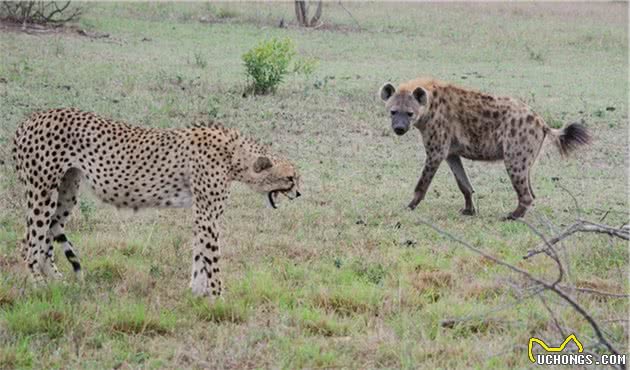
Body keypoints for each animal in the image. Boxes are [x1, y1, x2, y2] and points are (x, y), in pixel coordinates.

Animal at [11, 108, 304, 300]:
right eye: (290, 178)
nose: (300, 193)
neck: (235, 155)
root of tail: (28, 120)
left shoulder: (201, 213)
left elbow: (199, 252)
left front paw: (196, 293)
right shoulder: (207, 214)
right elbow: (212, 255)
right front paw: (219, 296)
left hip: (66, 192)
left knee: (46, 241)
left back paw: (57, 285)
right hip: (41, 192)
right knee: (29, 243)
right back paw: (38, 285)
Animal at [380, 77, 592, 217]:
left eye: (410, 113)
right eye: (393, 112)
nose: (399, 128)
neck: (429, 109)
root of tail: (541, 122)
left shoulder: (436, 149)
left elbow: (422, 182)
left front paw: (410, 205)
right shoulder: (450, 152)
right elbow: (464, 184)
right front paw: (468, 210)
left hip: (515, 155)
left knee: (525, 193)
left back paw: (513, 216)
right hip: (526, 158)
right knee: (531, 190)